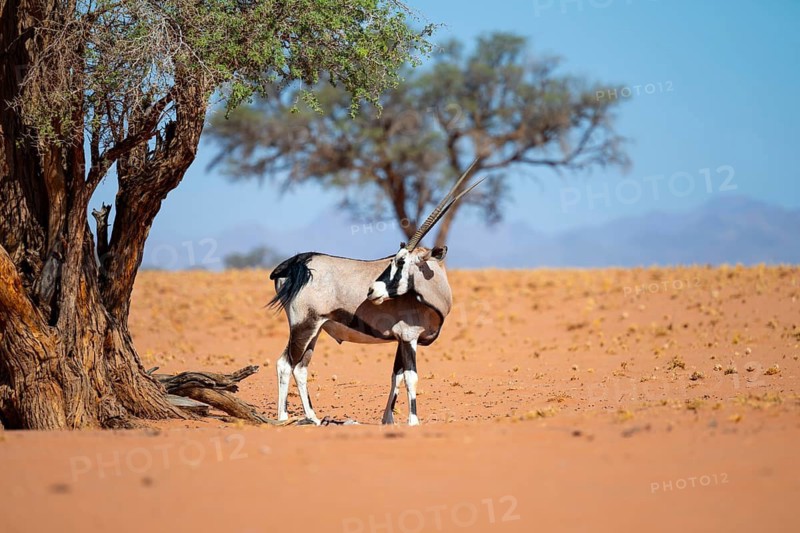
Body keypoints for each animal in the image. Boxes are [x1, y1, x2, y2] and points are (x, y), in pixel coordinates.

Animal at [268, 162, 484, 425]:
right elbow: (411, 377)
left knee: (300, 367)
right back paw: (283, 418)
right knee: (285, 364)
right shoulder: (409, 338)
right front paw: (413, 422)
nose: (371, 290)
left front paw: (388, 420)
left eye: (400, 261)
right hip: (303, 326)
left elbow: (396, 375)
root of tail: (296, 263)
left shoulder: (401, 340)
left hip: (315, 329)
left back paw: (313, 418)